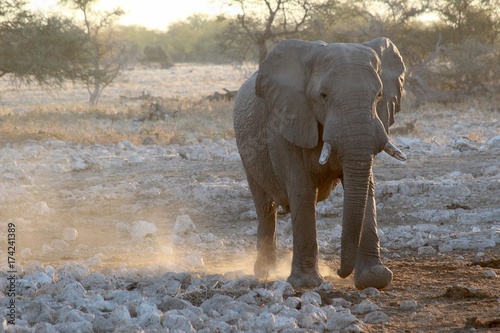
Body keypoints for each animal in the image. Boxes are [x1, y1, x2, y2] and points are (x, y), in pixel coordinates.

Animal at [234, 37, 406, 290]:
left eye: (378, 96)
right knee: (264, 206)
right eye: (323, 96)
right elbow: (302, 189)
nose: (340, 271)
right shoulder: (285, 122)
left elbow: (366, 187)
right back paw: (265, 272)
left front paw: (373, 279)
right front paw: (306, 283)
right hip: (246, 151)